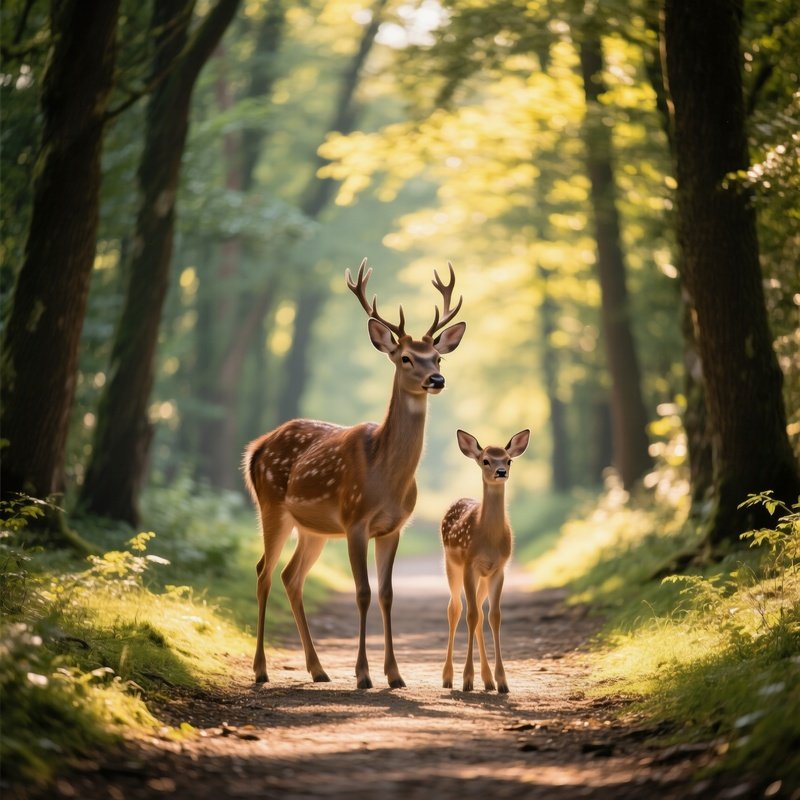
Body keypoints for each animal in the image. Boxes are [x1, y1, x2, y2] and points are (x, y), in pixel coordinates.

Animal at [243, 258, 466, 689]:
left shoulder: (393, 527)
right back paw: (261, 669)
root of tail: (256, 448)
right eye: (405, 358)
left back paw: (318, 669)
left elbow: (387, 593)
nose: (437, 380)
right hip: (271, 506)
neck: (386, 478)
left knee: (291, 577)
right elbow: (362, 592)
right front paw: (364, 674)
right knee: (264, 572)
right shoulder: (354, 520)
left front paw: (394, 675)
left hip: (312, 529)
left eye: (438, 357)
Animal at [441, 428, 530, 693]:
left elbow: (494, 617)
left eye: (509, 460)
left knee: (480, 613)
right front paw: (467, 679)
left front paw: (502, 681)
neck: (487, 539)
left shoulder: (499, 569)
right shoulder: (470, 565)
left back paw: (488, 680)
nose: (501, 472)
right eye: (486, 460)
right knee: (455, 609)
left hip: (482, 576)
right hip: (451, 565)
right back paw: (448, 677)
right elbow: (469, 615)